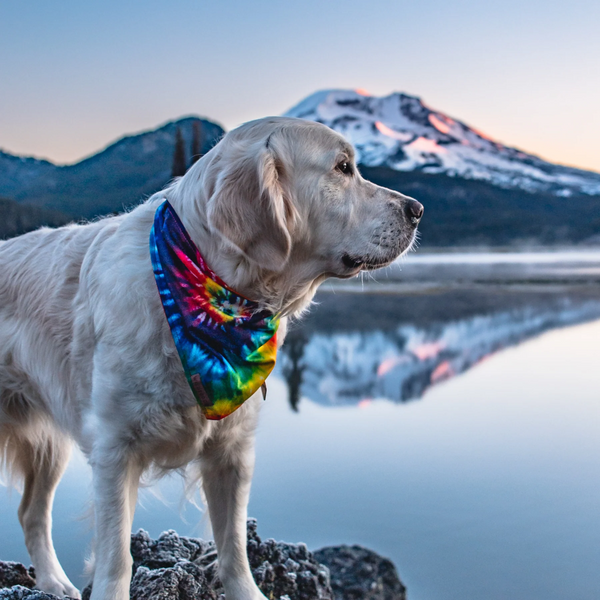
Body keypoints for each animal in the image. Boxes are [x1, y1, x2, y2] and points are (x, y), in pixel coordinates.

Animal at [0, 117, 422, 600]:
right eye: (343, 167)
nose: (417, 209)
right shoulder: (114, 451)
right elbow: (116, 560)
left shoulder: (231, 452)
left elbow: (234, 548)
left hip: (47, 445)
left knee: (31, 513)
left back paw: (53, 581)